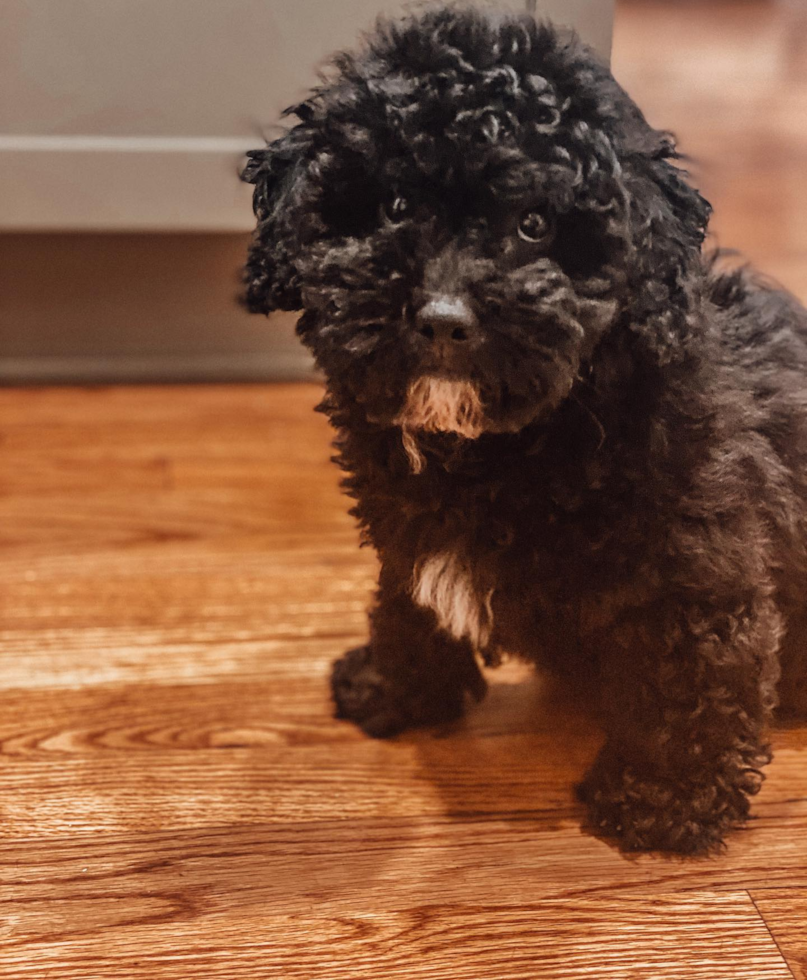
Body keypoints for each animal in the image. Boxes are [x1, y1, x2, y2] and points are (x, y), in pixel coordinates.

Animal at [243, 5, 807, 848]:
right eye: (395, 206)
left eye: (535, 224)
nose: (443, 320)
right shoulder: (407, 536)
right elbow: (404, 605)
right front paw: (395, 688)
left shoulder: (697, 566)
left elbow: (689, 669)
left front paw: (663, 800)